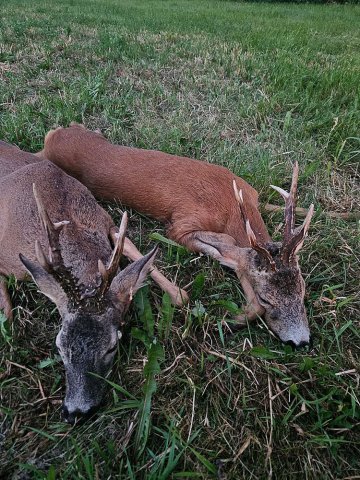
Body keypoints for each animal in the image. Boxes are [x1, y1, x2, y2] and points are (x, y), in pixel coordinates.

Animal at [0, 141, 186, 422]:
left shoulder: (106, 221)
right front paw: (9, 330)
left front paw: (178, 293)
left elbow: (134, 252)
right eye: (59, 346)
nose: (76, 412)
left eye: (111, 347)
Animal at [37, 125, 316, 346]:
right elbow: (228, 247)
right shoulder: (181, 226)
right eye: (267, 299)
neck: (232, 204)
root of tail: (55, 134)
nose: (301, 342)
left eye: (302, 291)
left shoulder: (252, 194)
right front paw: (234, 317)